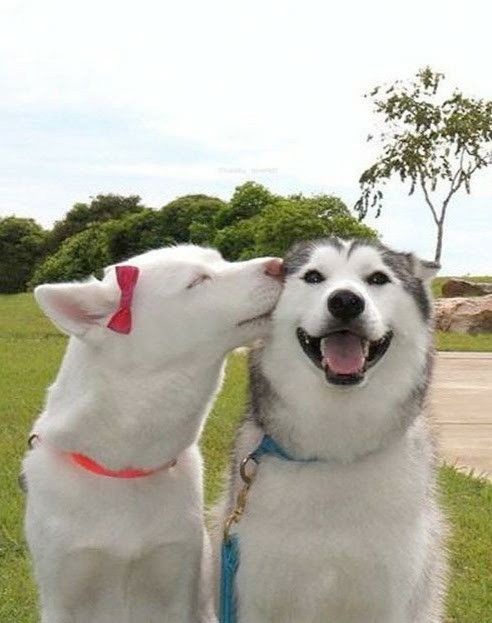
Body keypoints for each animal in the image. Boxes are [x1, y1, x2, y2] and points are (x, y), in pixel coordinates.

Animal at [23, 244, 283, 623]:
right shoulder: (63, 597)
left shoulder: (178, 585)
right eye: (197, 281)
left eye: (220, 260)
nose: (282, 265)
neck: (126, 470)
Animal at [220, 238, 446, 623]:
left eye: (377, 278)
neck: (335, 449)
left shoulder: (392, 594)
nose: (345, 301)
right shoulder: (254, 590)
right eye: (313, 276)